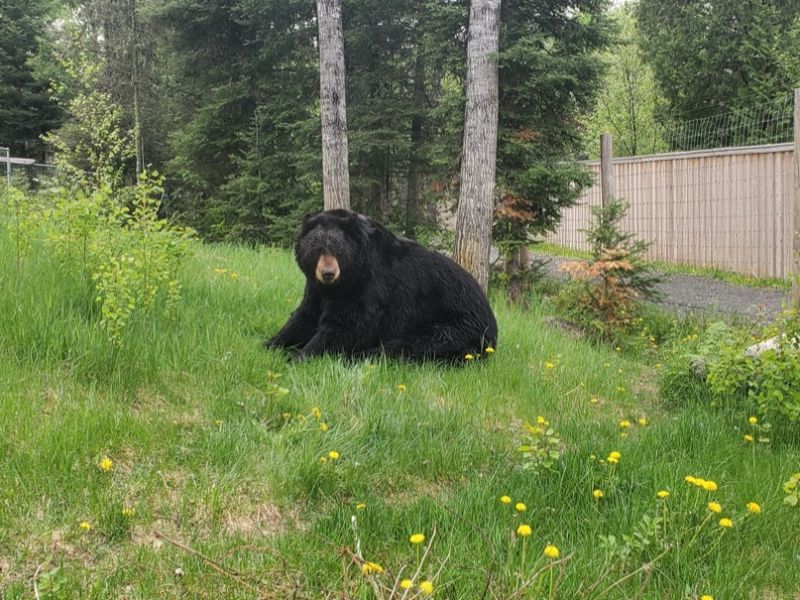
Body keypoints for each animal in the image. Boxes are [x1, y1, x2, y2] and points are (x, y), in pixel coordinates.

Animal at [264, 209, 498, 362]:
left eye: (338, 250)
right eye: (316, 249)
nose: (328, 273)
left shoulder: (367, 286)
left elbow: (348, 326)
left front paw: (299, 356)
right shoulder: (316, 289)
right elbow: (304, 316)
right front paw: (270, 343)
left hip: (455, 327)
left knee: (411, 346)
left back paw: (363, 355)